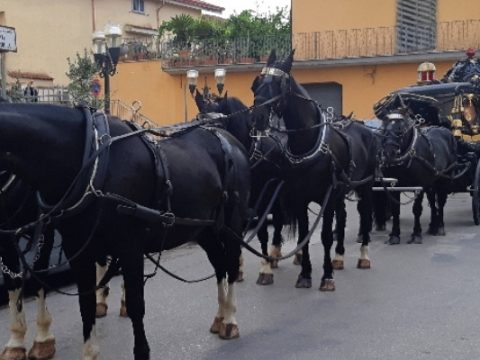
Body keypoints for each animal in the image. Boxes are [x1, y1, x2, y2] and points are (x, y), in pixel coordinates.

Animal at [0, 102, 251, 358]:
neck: (91, 163)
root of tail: (230, 140)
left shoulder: (130, 248)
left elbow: (135, 304)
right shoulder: (78, 252)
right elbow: (85, 306)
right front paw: (89, 352)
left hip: (232, 224)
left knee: (231, 265)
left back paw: (230, 320)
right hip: (203, 229)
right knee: (219, 264)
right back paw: (220, 317)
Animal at [192, 91, 288, 286]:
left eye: (219, 124)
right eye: (198, 121)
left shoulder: (261, 201)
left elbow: (262, 233)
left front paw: (265, 269)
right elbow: (237, 235)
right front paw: (238, 268)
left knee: (280, 220)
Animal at [249, 50, 376, 292]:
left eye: (279, 85)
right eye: (257, 84)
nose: (257, 117)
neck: (307, 143)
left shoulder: (326, 198)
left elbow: (325, 236)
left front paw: (326, 277)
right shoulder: (300, 198)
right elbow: (303, 236)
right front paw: (305, 274)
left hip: (364, 187)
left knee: (365, 216)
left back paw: (364, 256)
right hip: (339, 192)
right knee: (343, 217)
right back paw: (339, 258)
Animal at [378, 108, 458, 243]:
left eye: (400, 129)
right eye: (383, 129)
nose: (389, 153)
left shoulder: (418, 186)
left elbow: (416, 210)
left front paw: (416, 234)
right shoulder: (393, 186)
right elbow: (395, 209)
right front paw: (394, 235)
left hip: (443, 180)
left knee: (440, 202)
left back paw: (440, 227)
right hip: (431, 183)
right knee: (432, 202)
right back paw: (432, 227)